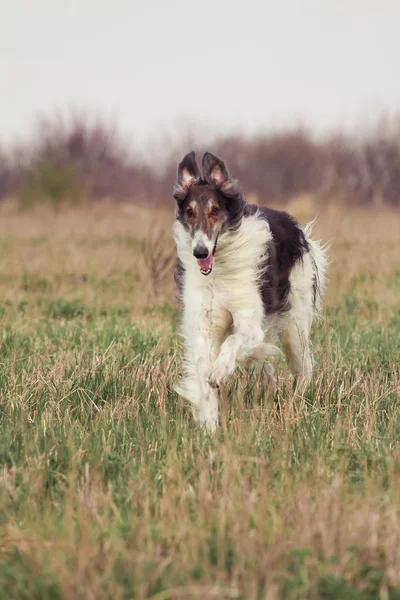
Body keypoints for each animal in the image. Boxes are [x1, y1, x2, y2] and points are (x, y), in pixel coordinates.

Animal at [173, 150, 328, 432]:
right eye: (189, 211)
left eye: (215, 210)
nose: (200, 251)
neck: (220, 270)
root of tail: (301, 231)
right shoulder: (204, 326)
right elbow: (204, 379)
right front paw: (209, 428)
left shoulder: (251, 321)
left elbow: (234, 342)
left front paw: (220, 370)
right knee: (265, 366)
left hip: (295, 328)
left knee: (304, 368)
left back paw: (298, 402)